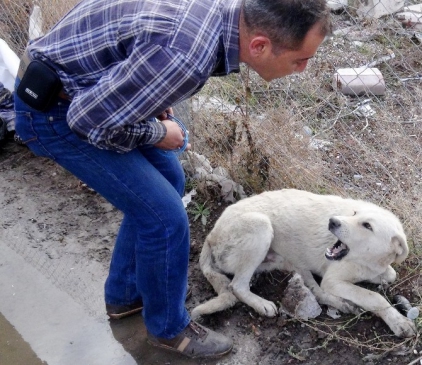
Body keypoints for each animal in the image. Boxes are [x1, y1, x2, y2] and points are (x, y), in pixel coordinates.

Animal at [193, 189, 418, 336]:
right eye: (354, 214)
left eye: (367, 226)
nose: (332, 221)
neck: (366, 260)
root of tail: (211, 235)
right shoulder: (333, 280)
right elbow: (373, 297)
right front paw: (398, 322)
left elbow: (390, 275)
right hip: (261, 225)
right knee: (237, 286)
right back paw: (262, 304)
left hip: (285, 260)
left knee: (313, 288)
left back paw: (343, 303)